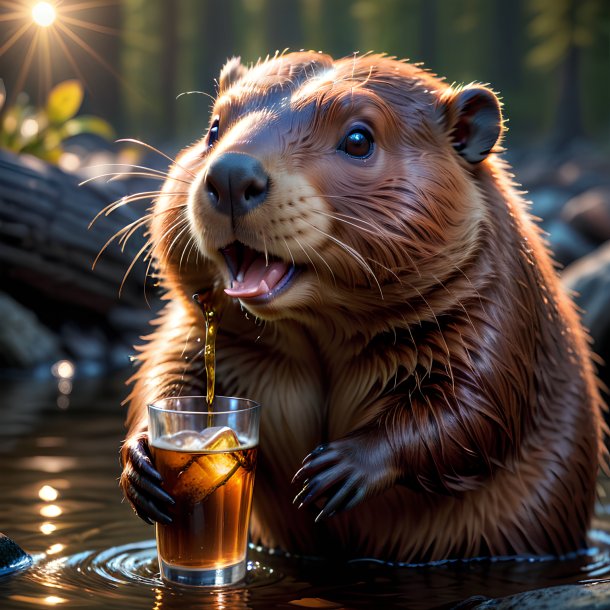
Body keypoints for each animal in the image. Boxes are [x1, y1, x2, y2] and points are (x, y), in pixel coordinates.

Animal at [117, 51, 604, 560]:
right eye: (213, 127)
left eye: (358, 139)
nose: (231, 174)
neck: (318, 330)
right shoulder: (195, 323)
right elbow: (167, 370)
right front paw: (142, 464)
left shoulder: (499, 309)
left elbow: (477, 405)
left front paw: (331, 472)